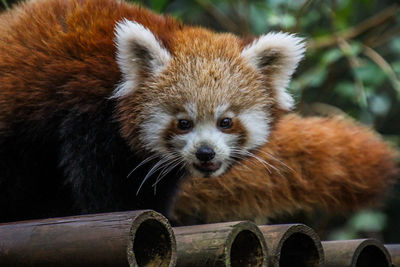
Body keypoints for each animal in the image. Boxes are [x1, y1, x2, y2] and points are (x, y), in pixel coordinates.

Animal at [0, 0, 304, 223]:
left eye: (226, 121)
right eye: (183, 123)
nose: (205, 152)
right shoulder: (86, 117)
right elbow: (99, 185)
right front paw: (112, 212)